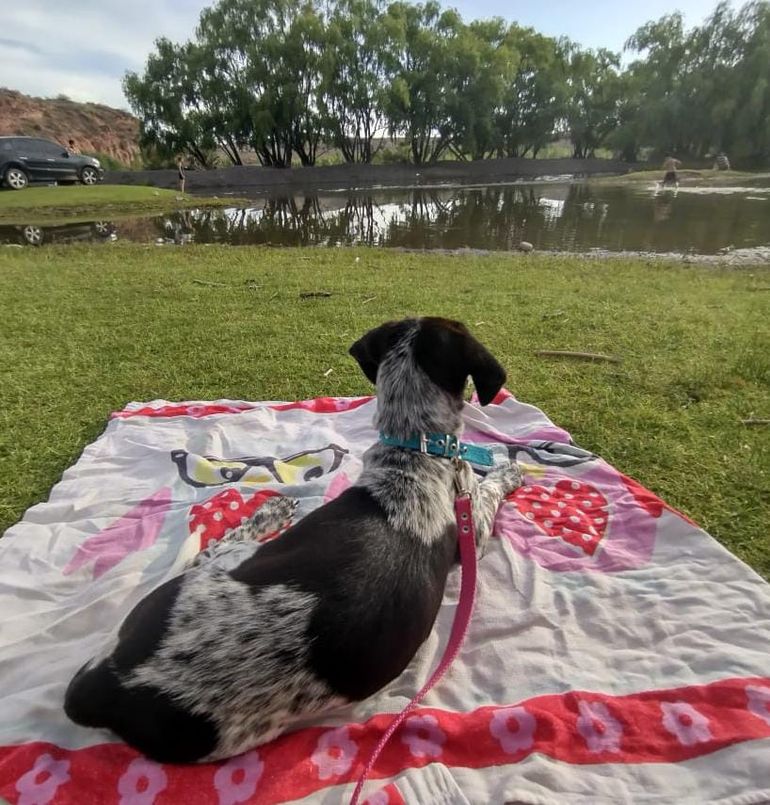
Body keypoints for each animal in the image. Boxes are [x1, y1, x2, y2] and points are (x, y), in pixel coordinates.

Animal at [64, 316, 520, 760]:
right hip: (228, 565)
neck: (414, 451)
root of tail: (113, 688)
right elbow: (490, 491)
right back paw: (268, 514)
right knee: (208, 550)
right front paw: (509, 472)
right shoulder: (473, 529)